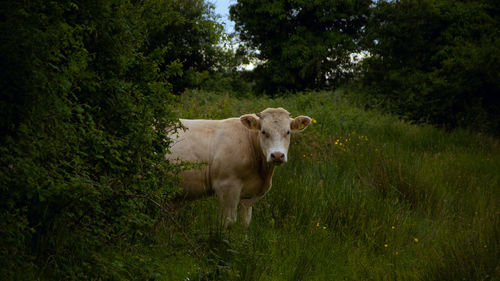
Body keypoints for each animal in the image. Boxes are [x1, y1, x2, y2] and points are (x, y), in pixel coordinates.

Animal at [166, 107, 310, 228]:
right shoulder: (226, 187)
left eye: (288, 132)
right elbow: (228, 222)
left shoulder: (249, 197)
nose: (277, 155)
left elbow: (244, 224)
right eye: (263, 131)